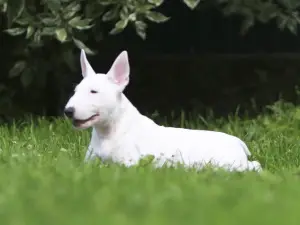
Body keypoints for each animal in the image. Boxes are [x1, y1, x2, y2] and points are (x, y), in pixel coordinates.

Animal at [64, 49, 262, 171]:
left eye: (94, 91)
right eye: (75, 90)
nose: (68, 111)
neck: (109, 132)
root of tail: (239, 143)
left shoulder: (129, 164)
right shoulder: (88, 163)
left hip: (226, 163)